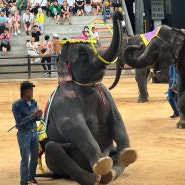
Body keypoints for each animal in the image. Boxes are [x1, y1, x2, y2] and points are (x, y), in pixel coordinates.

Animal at [39, 10, 137, 185]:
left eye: (97, 46)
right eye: (82, 53)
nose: (118, 13)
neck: (88, 86)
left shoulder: (106, 94)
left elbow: (117, 119)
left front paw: (128, 153)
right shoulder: (64, 100)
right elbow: (73, 125)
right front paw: (101, 163)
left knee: (114, 153)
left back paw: (109, 173)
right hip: (53, 161)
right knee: (53, 147)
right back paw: (97, 174)